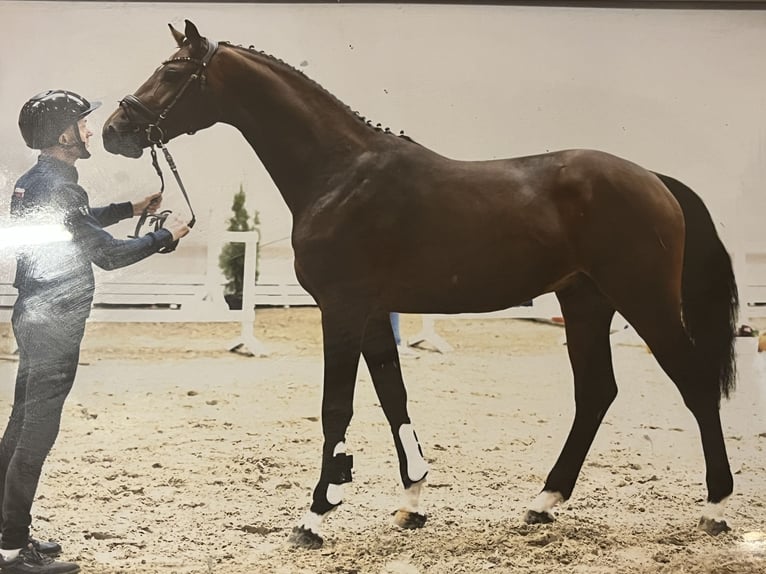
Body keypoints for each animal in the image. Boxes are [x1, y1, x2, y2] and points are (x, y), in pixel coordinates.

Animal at [102, 20, 739, 549]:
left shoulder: (342, 308)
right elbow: (393, 398)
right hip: (585, 302)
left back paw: (716, 506)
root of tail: (654, 179)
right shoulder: (373, 312)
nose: (115, 129)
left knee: (694, 383)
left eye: (173, 70)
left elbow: (337, 407)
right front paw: (411, 499)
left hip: (645, 301)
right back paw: (543, 503)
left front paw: (316, 513)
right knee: (596, 393)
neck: (340, 173)